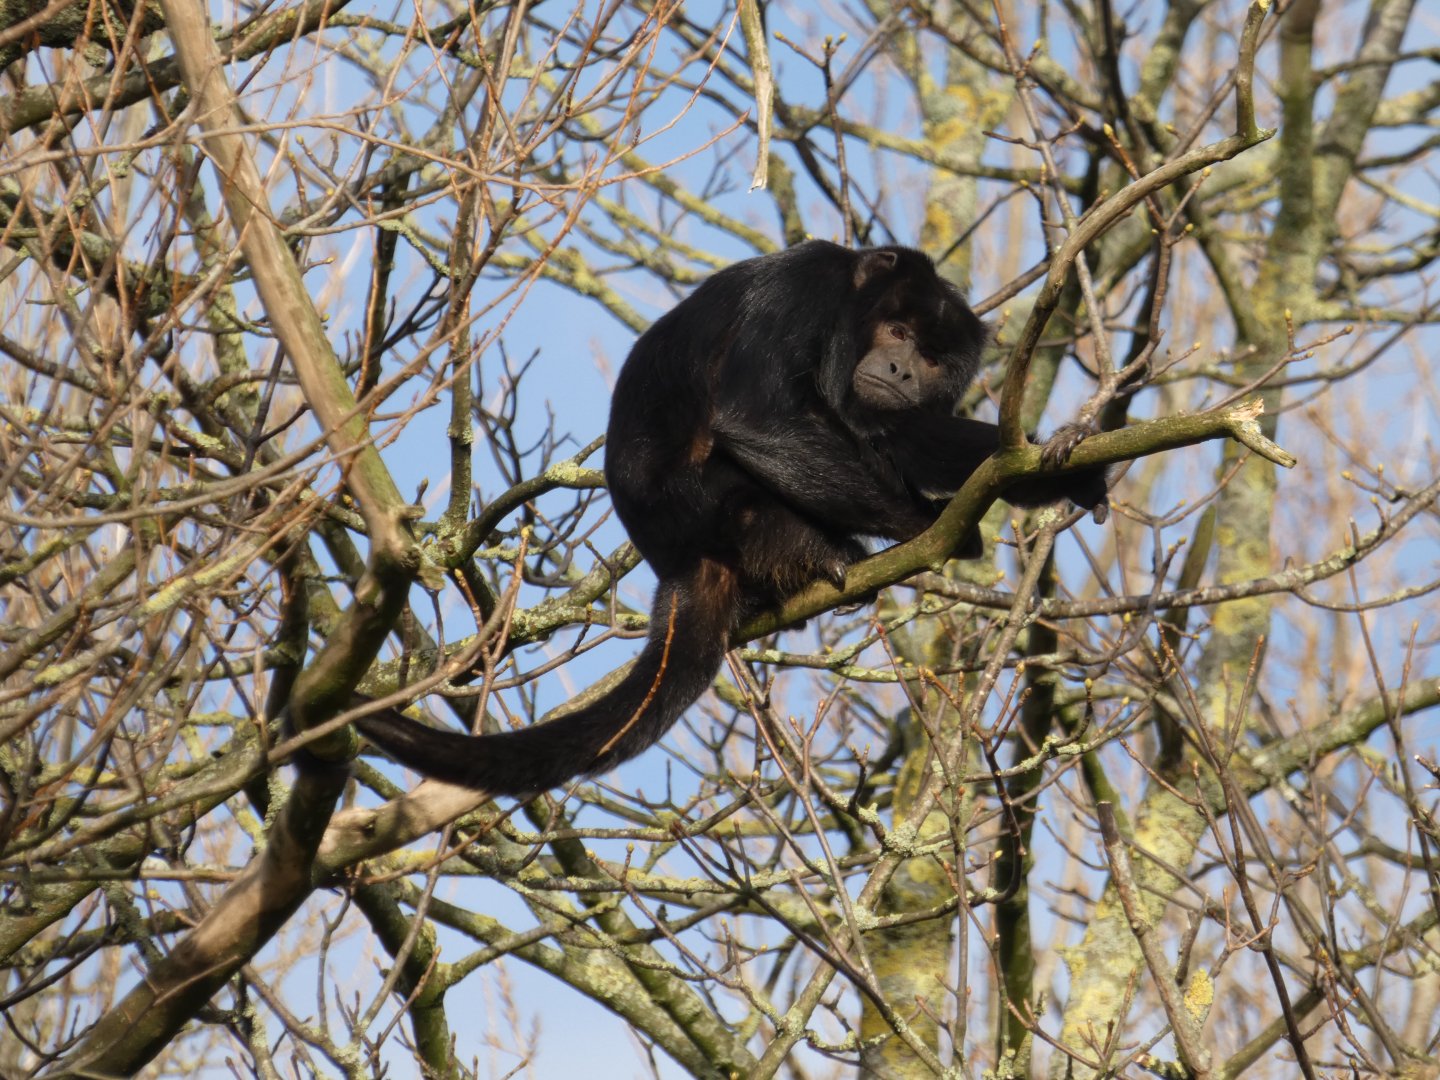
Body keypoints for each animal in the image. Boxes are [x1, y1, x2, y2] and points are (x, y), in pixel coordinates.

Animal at [354, 241, 1108, 796]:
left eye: (929, 358)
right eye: (897, 331)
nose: (899, 368)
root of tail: (682, 563)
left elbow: (903, 434)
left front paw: (1060, 467)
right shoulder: (805, 289)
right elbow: (757, 419)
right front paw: (932, 526)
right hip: (703, 511)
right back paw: (818, 551)